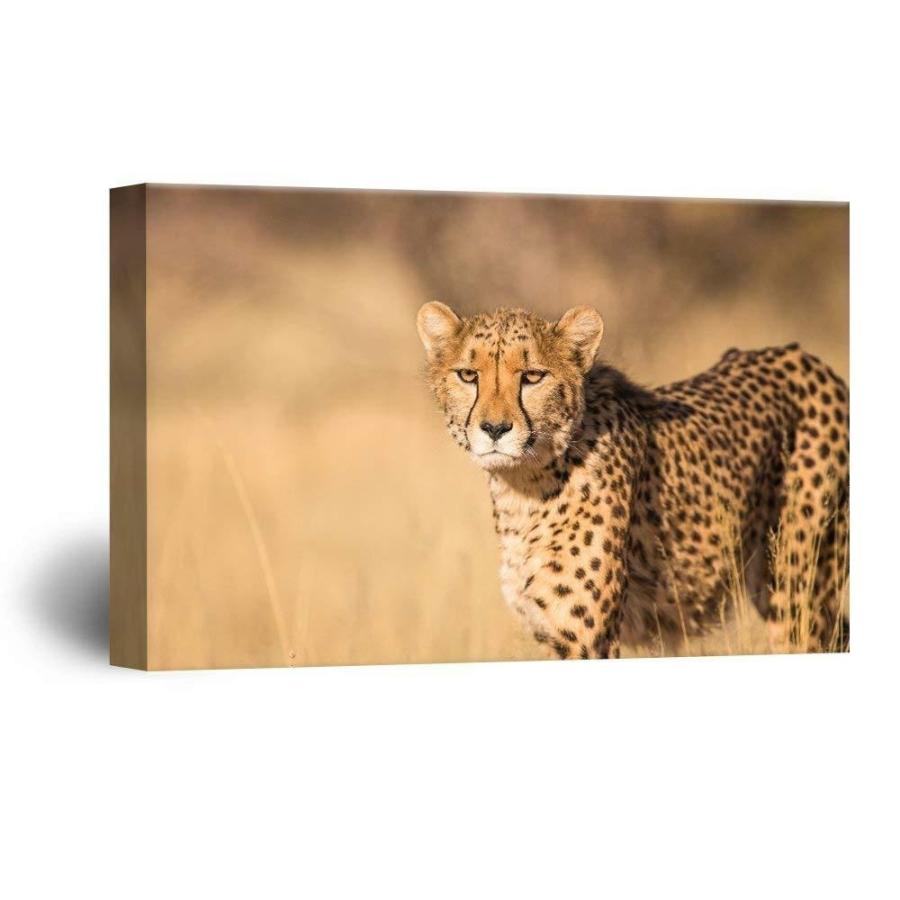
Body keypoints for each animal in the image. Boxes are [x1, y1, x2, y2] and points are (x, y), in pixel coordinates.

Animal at [416, 302, 849, 659]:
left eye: (533, 377)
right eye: (468, 375)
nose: (494, 428)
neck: (524, 487)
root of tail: (803, 357)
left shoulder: (587, 640)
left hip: (799, 593)